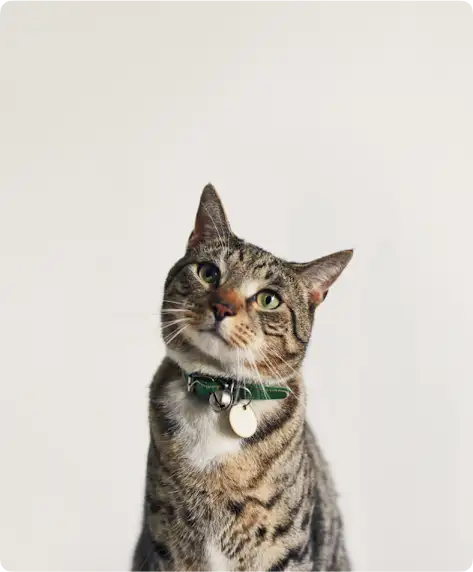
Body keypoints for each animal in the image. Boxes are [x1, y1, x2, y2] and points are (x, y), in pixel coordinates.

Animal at [131, 185, 352, 568]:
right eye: (208, 273)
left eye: (268, 299)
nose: (222, 306)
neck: (219, 393)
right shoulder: (166, 544)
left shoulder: (286, 551)